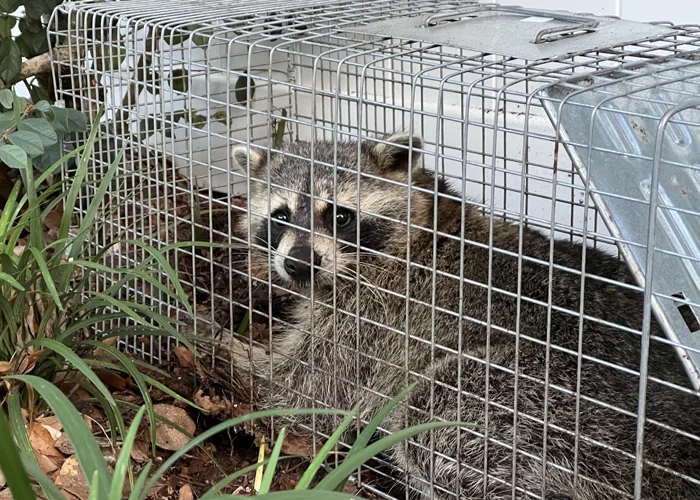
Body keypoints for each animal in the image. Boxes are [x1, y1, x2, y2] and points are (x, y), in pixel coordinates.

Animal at [228, 132, 700, 500]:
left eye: (340, 216)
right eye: (281, 216)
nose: (298, 263)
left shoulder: (371, 321)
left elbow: (299, 390)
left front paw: (222, 345)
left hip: (537, 400)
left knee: (431, 413)